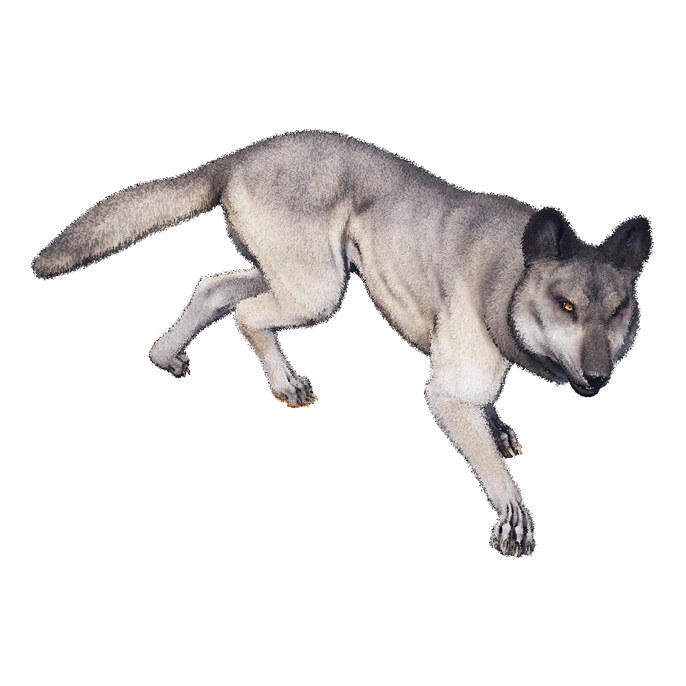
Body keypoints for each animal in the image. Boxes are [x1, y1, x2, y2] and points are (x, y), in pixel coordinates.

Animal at [35, 131, 651, 557]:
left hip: (301, 274)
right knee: (247, 311)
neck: (510, 274)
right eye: (566, 307)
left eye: (617, 311)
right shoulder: (449, 391)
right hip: (318, 287)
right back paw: (282, 381)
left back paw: (166, 354)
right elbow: (483, 453)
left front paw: (500, 428)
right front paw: (509, 506)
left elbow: (490, 420)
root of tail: (236, 158)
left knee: (214, 288)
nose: (599, 377)